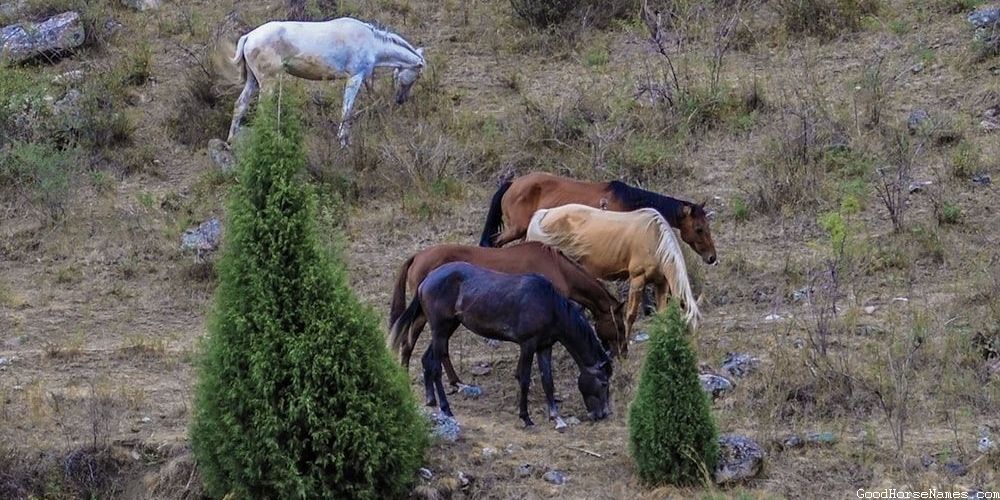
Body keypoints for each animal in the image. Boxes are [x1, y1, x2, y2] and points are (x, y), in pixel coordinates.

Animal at [227, 17, 426, 146]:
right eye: (416, 76)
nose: (401, 100)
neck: (372, 43)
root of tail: (248, 37)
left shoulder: (364, 78)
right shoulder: (354, 78)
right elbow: (346, 110)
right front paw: (343, 141)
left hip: (253, 81)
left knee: (240, 104)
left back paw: (231, 141)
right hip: (268, 81)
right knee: (262, 111)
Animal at [389, 242, 626, 387]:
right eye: (620, 326)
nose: (622, 353)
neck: (558, 268)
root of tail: (417, 256)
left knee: (421, 345)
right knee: (413, 343)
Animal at [389, 262, 612, 429]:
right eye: (604, 383)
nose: (603, 414)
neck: (550, 305)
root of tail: (426, 280)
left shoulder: (544, 346)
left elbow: (548, 381)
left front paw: (556, 417)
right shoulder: (528, 344)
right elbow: (524, 378)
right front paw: (526, 417)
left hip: (447, 328)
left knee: (428, 359)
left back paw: (431, 399)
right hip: (440, 329)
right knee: (435, 367)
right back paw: (446, 408)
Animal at [478, 172, 718, 265]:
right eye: (699, 229)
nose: (712, 257)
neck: (627, 201)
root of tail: (512, 183)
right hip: (515, 229)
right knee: (494, 243)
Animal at [525, 204, 700, 339]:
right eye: (686, 326)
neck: (655, 240)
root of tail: (546, 213)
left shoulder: (661, 284)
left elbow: (662, 314)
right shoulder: (637, 279)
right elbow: (630, 315)